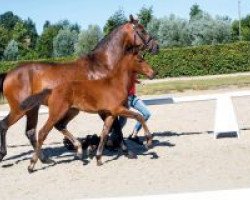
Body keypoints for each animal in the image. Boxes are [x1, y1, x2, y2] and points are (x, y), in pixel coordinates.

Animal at [20, 53, 155, 172]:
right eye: (139, 60)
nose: (153, 73)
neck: (116, 84)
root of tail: (52, 90)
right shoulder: (118, 109)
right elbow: (139, 116)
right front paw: (149, 142)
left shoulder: (110, 114)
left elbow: (105, 133)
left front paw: (98, 158)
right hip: (57, 112)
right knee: (43, 132)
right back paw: (32, 165)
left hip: (72, 111)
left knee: (61, 125)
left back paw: (79, 151)